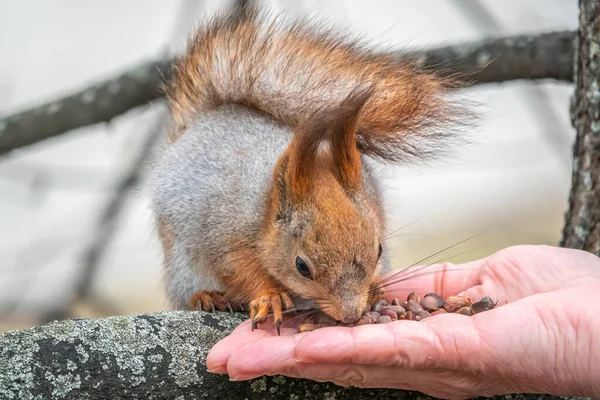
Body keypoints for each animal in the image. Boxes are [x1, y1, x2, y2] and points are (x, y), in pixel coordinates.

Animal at [149, 3, 468, 334]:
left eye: (379, 249)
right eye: (301, 266)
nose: (351, 315)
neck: (266, 206)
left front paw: (376, 286)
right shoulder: (223, 235)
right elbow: (239, 269)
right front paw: (270, 296)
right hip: (182, 267)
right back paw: (207, 296)